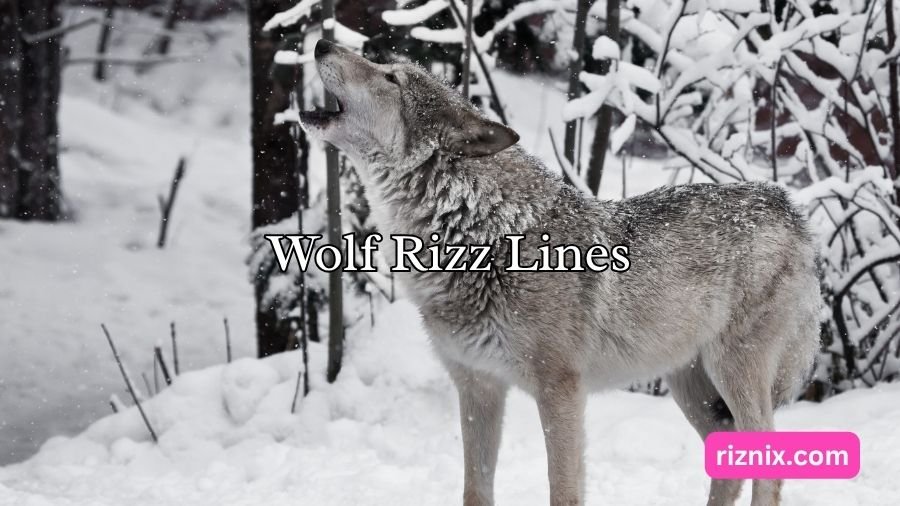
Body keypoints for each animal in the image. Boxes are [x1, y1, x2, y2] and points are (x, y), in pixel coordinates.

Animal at [300, 39, 820, 506]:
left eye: (391, 78)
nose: (322, 42)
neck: (480, 232)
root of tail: (788, 207)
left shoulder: (560, 392)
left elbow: (563, 492)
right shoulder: (477, 389)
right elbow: (475, 490)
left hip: (732, 373)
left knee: (769, 470)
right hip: (690, 386)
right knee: (729, 470)